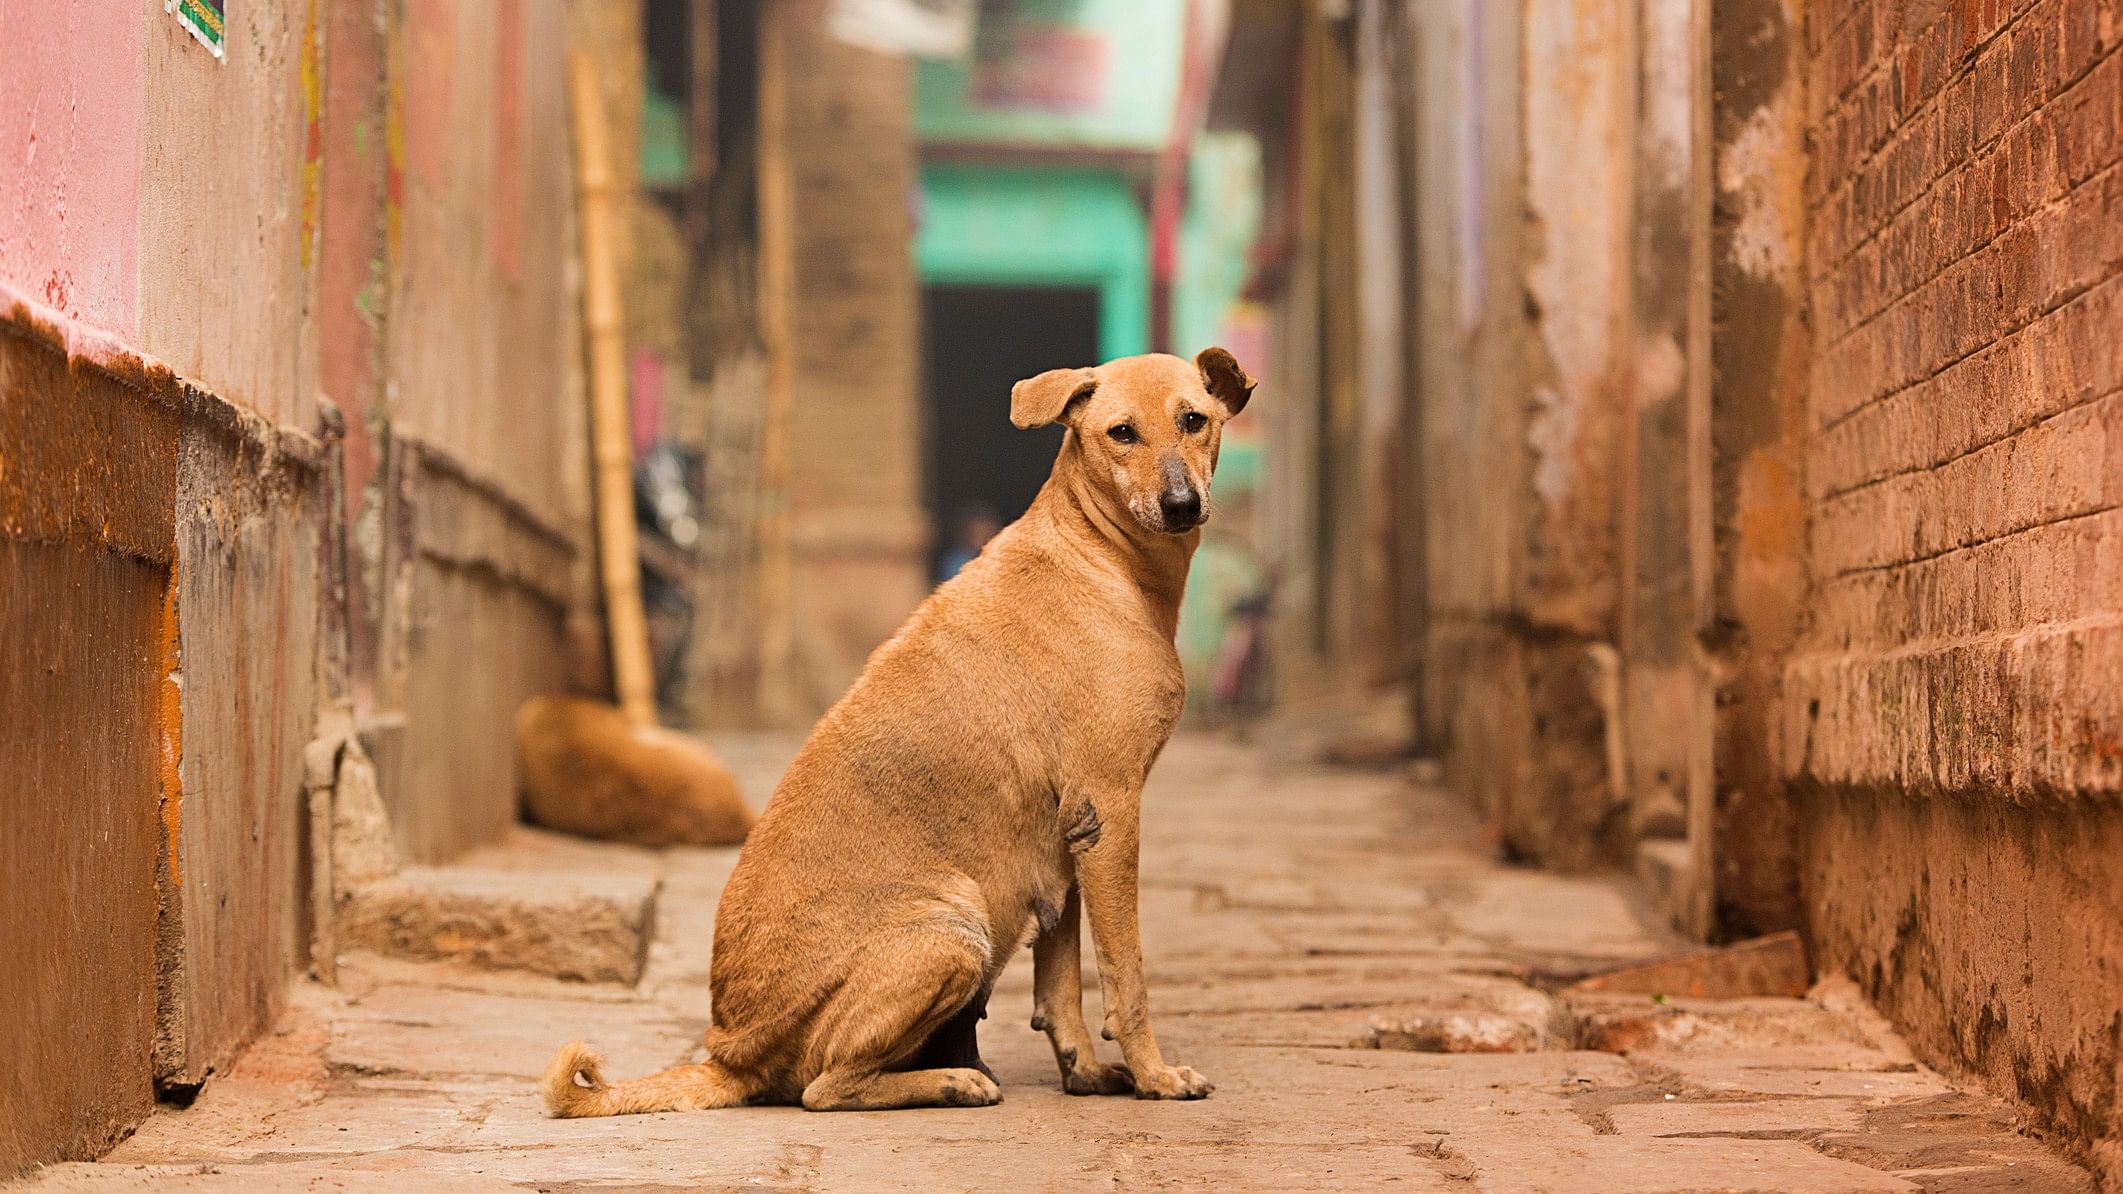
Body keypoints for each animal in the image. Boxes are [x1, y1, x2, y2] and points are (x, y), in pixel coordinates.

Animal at [539, 348, 1256, 1113]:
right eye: (1121, 433)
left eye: (1194, 421)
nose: (1181, 505)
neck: (1098, 556)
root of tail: (729, 1055)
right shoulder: (1112, 813)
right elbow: (1127, 975)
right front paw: (1156, 1076)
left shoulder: (1068, 841)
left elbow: (1060, 985)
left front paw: (1086, 1074)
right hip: (955, 925)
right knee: (827, 1086)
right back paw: (951, 1081)